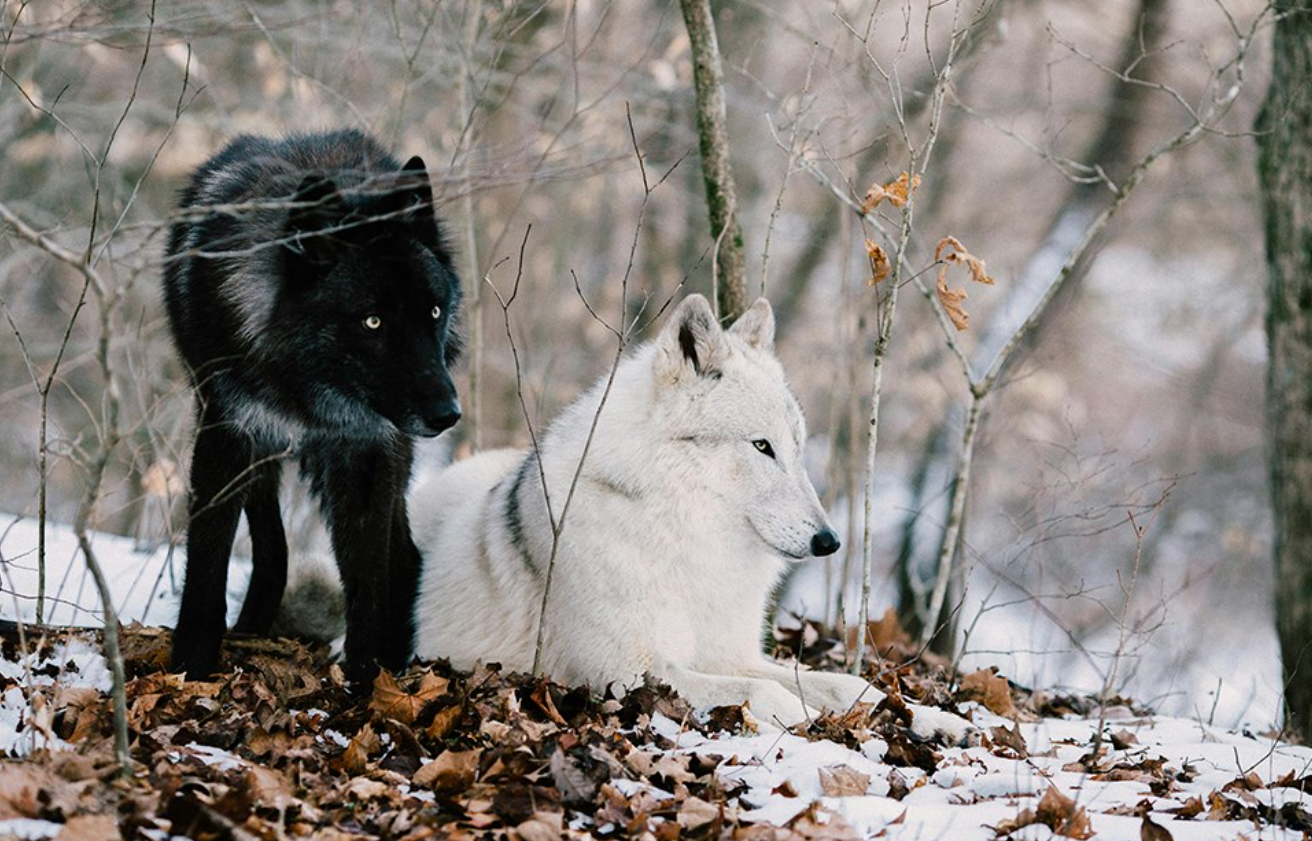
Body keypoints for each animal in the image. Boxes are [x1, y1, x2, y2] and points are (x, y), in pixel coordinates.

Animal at [163, 130, 461, 687]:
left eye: (433, 312)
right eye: (372, 321)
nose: (447, 414)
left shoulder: (366, 453)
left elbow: (367, 579)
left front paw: (367, 682)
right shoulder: (227, 433)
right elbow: (209, 561)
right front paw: (191, 666)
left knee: (404, 558)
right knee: (272, 547)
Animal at [409, 294, 970, 738]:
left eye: (797, 448)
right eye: (761, 447)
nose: (828, 540)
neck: (687, 540)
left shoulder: (734, 655)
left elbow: (849, 683)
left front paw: (932, 717)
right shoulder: (624, 672)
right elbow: (768, 694)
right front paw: (812, 721)